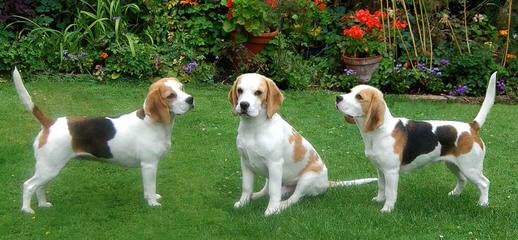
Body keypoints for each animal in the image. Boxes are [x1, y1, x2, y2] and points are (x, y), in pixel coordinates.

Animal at [12, 67, 195, 214]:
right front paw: (153, 203)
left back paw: (43, 205)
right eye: (170, 96)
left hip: (49, 169)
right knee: (28, 185)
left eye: (182, 88)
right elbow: (150, 187)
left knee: (40, 187)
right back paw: (27, 210)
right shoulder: (149, 165)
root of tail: (50, 122)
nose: (191, 99)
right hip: (49, 168)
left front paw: (153, 198)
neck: (152, 123)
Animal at [230, 73, 376, 216]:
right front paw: (243, 203)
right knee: (270, 189)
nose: (243, 105)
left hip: (306, 179)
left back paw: (281, 206)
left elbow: (274, 191)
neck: (253, 127)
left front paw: (271, 210)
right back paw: (256, 196)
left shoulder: (275, 164)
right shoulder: (245, 162)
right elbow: (246, 186)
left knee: (294, 197)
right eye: (240, 90)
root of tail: (326, 183)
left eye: (258, 92)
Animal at [338, 72, 500, 213]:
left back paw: (483, 203)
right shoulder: (380, 169)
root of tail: (471, 126)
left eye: (359, 96)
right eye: (350, 91)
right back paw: (455, 194)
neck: (380, 130)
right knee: (462, 179)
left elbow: (390, 192)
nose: (337, 98)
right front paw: (379, 199)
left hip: (470, 167)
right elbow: (381, 186)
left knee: (484, 183)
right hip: (453, 164)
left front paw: (387, 209)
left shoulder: (391, 172)